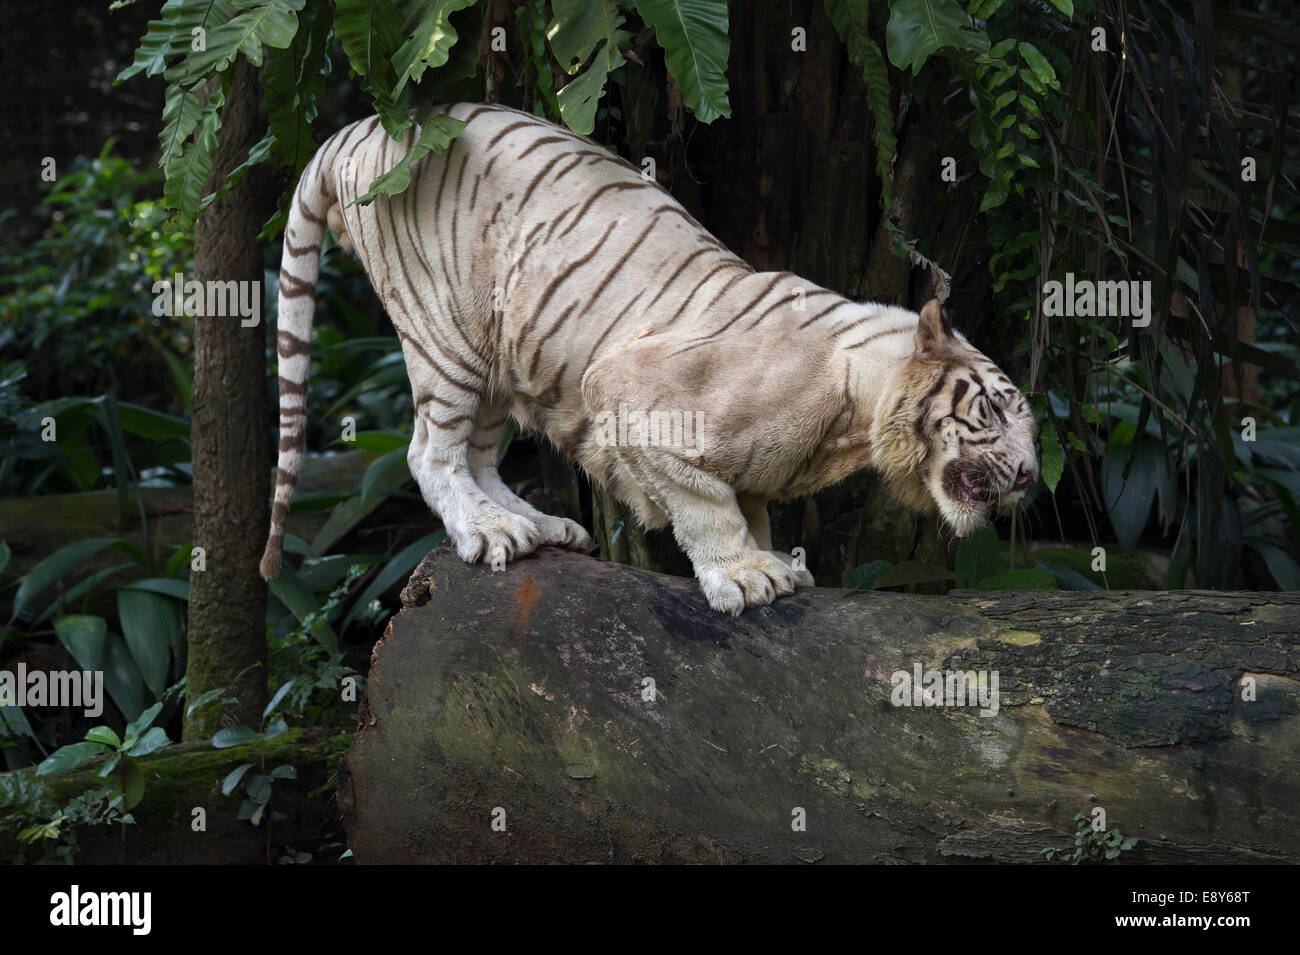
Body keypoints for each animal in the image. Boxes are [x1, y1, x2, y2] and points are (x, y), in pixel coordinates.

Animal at [258, 102, 1040, 613]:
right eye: (997, 410)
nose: (1032, 475)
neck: (856, 414)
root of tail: (365, 123)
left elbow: (747, 501)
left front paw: (771, 560)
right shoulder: (631, 392)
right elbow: (705, 503)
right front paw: (744, 575)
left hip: (496, 351)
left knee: (477, 453)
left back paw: (533, 525)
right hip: (445, 332)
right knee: (430, 450)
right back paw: (486, 528)